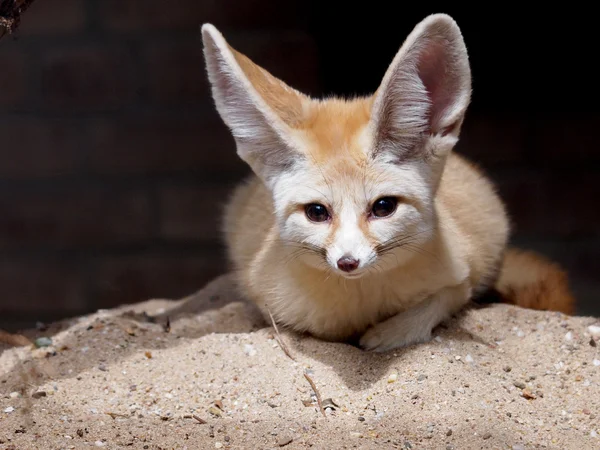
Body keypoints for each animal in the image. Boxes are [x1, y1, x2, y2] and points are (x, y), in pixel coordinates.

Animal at [203, 13, 576, 352]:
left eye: (383, 207)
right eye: (317, 212)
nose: (347, 262)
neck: (361, 304)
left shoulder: (462, 276)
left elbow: (439, 302)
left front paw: (387, 335)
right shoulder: (265, 296)